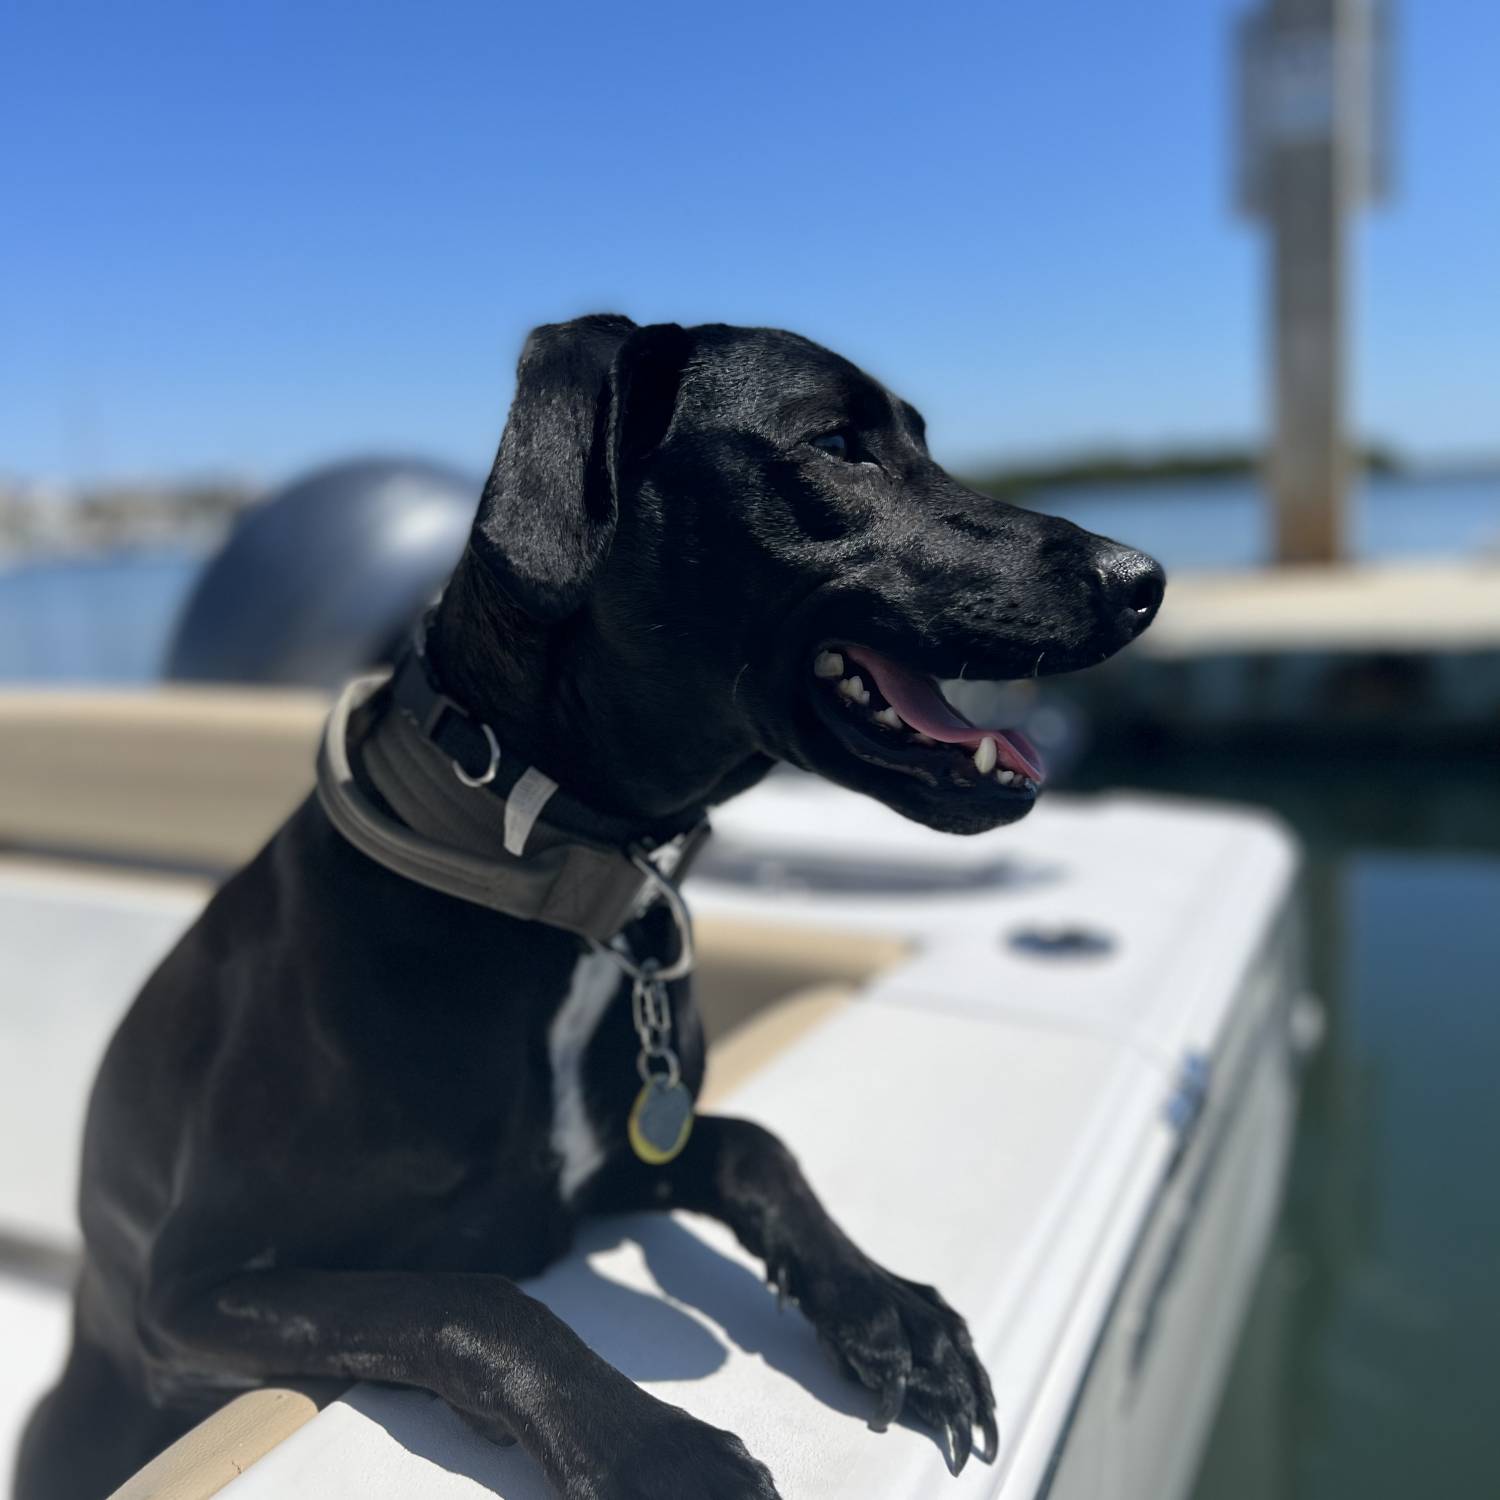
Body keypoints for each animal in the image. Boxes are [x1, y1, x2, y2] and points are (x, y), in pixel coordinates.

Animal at [14, 310, 1158, 1494]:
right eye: (840, 445)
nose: (1143, 578)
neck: (545, 886)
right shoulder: (194, 1289)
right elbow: (469, 1297)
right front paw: (658, 1448)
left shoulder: (610, 1166)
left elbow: (756, 1143)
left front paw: (887, 1306)